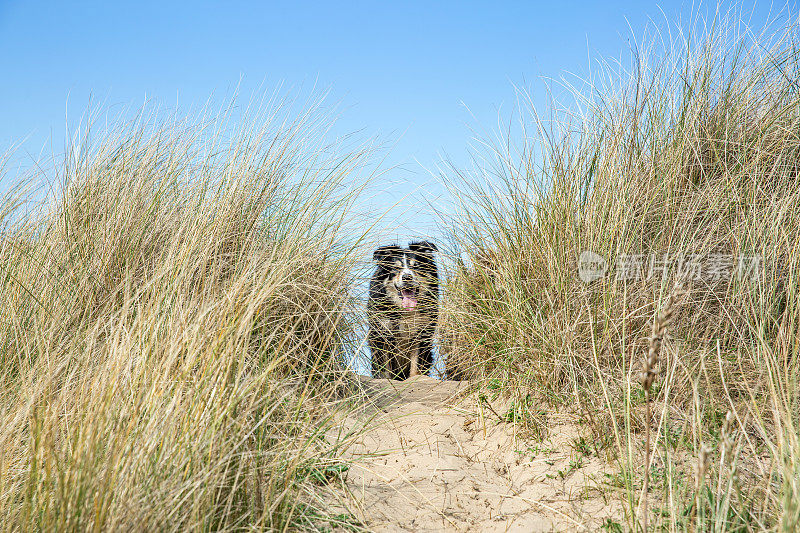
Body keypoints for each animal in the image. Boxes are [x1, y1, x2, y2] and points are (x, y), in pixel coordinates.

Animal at [368, 241, 438, 378]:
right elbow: (384, 368)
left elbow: (416, 365)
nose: (407, 277)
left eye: (416, 267)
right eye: (396, 268)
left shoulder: (421, 333)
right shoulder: (382, 332)